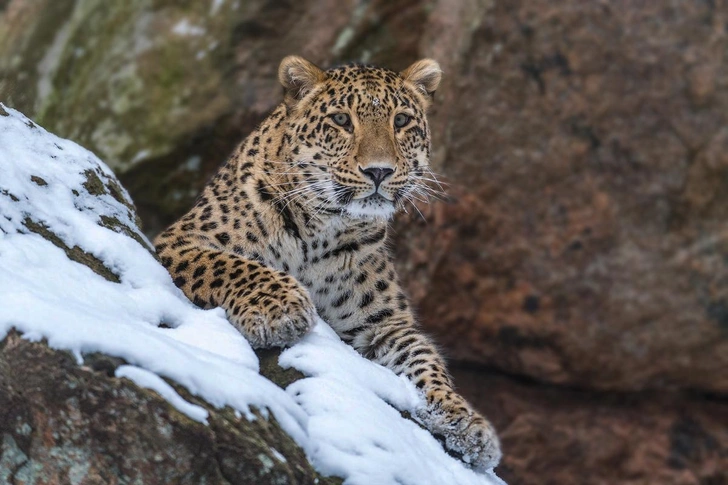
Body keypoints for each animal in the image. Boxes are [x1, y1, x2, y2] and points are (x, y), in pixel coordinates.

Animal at [155, 54, 500, 470]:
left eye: (401, 121)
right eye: (341, 120)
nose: (379, 170)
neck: (325, 227)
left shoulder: (381, 324)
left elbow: (424, 358)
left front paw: (465, 421)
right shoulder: (181, 241)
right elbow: (236, 266)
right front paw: (280, 309)